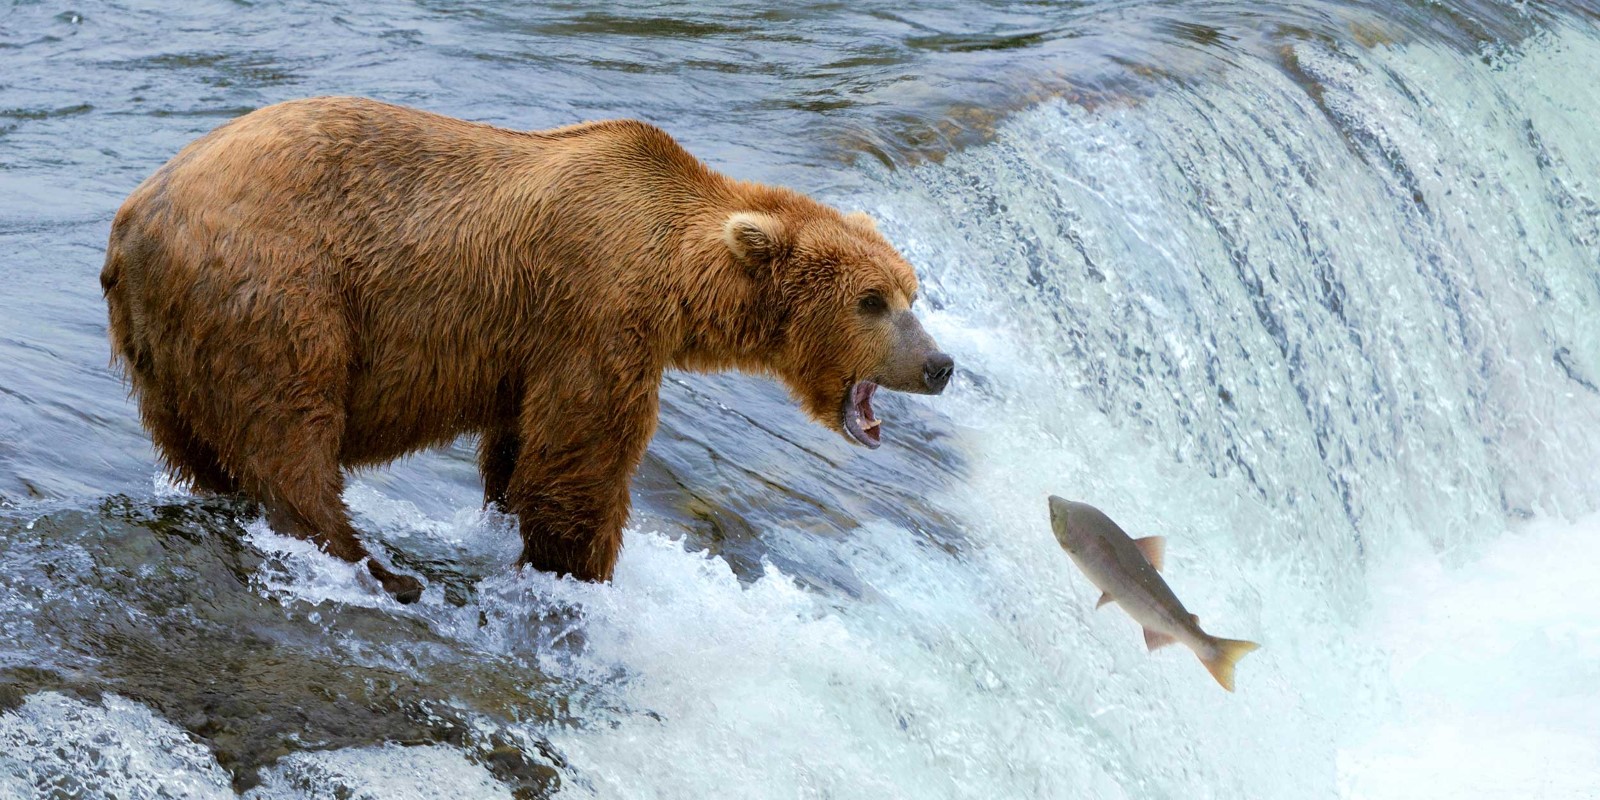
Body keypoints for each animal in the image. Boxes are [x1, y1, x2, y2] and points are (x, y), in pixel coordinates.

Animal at [103, 96, 947, 601]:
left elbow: (520, 451)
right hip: (278, 291)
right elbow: (582, 458)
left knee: (201, 446)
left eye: (913, 290)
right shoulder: (599, 310)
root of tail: (134, 218)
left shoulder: (533, 345)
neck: (678, 276)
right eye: (872, 301)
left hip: (163, 347)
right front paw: (583, 567)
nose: (939, 365)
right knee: (291, 434)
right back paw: (376, 567)